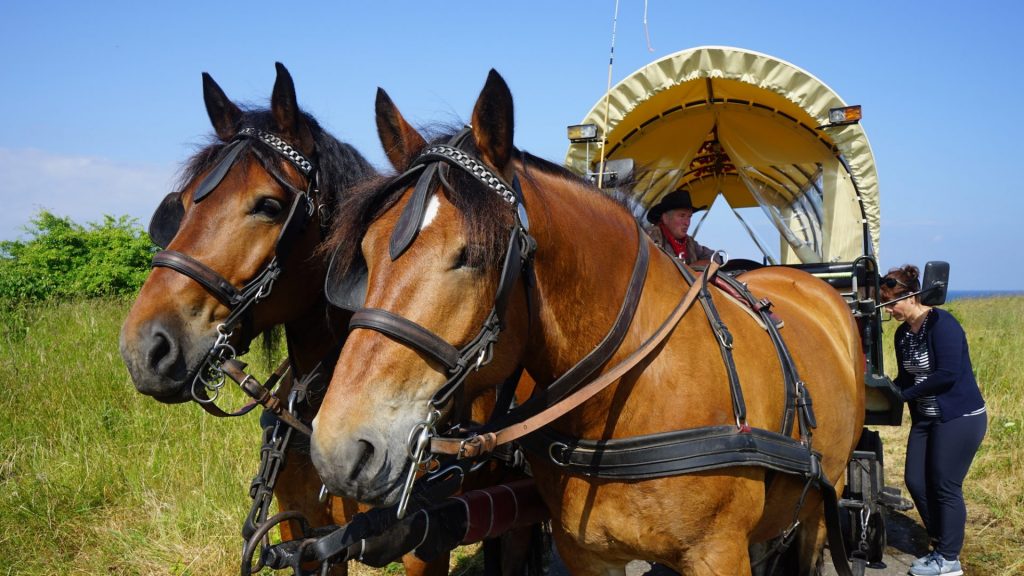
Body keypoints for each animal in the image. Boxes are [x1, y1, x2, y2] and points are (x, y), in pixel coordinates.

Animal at [309, 72, 864, 573]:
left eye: (473, 255)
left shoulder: (717, 553)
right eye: (366, 253)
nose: (340, 449)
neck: (631, 392)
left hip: (824, 499)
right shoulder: (587, 554)